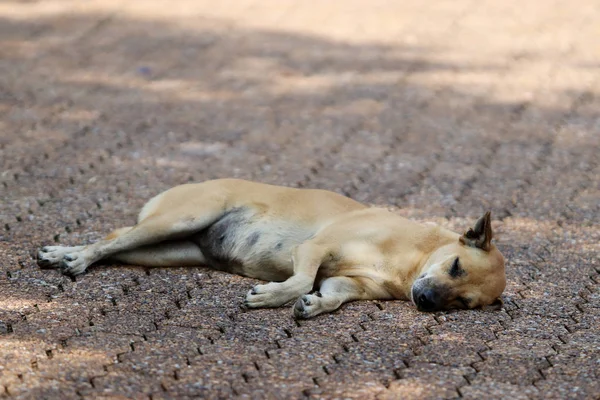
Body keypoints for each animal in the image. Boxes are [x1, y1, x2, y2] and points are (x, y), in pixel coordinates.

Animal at [37, 180, 506, 318]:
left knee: (114, 245)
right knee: (110, 240)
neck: (407, 261)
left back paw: (63, 253)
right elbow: (298, 279)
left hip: (167, 249)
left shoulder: (346, 283)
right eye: (456, 265)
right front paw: (270, 297)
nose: (425, 300)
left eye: (463, 302)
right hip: (178, 220)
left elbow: (329, 296)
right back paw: (74, 256)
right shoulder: (315, 248)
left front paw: (314, 305)